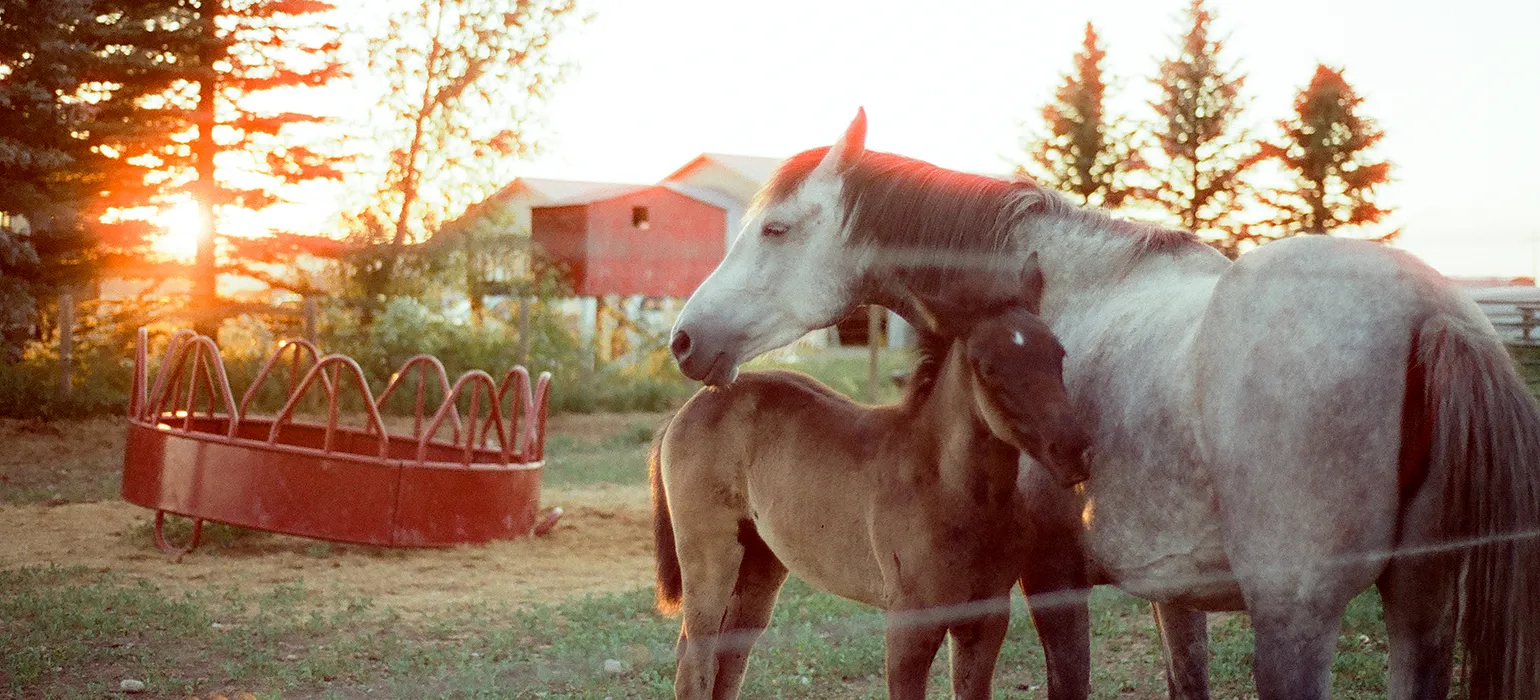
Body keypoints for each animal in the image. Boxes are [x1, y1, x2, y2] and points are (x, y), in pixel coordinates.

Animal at [650, 264, 1092, 700]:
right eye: (988, 367)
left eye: (1059, 354)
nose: (1074, 450)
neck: (956, 490)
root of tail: (685, 410)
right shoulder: (909, 621)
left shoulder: (987, 617)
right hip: (708, 556)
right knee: (695, 662)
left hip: (760, 560)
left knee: (729, 657)